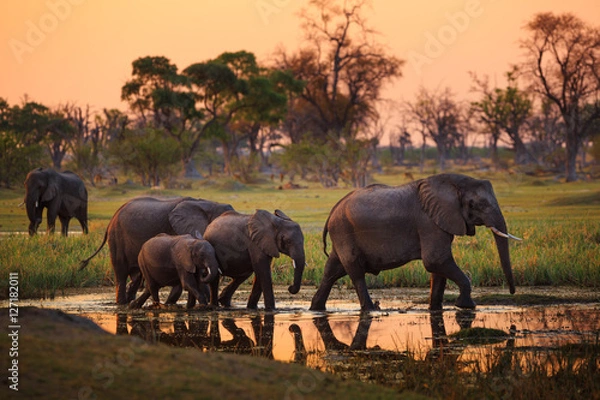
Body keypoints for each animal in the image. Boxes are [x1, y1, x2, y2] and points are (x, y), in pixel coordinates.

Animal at [77, 196, 232, 304]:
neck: (207, 204)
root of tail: (111, 219)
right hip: (117, 238)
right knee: (120, 273)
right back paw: (121, 303)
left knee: (136, 277)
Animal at [310, 173, 520, 312]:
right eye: (480, 205)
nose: (512, 292)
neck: (453, 184)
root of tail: (333, 209)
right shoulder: (428, 222)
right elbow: (435, 260)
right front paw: (466, 306)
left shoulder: (440, 221)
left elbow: (438, 267)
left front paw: (435, 309)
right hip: (343, 230)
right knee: (355, 272)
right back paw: (371, 309)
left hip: (341, 233)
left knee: (332, 271)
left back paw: (316, 309)